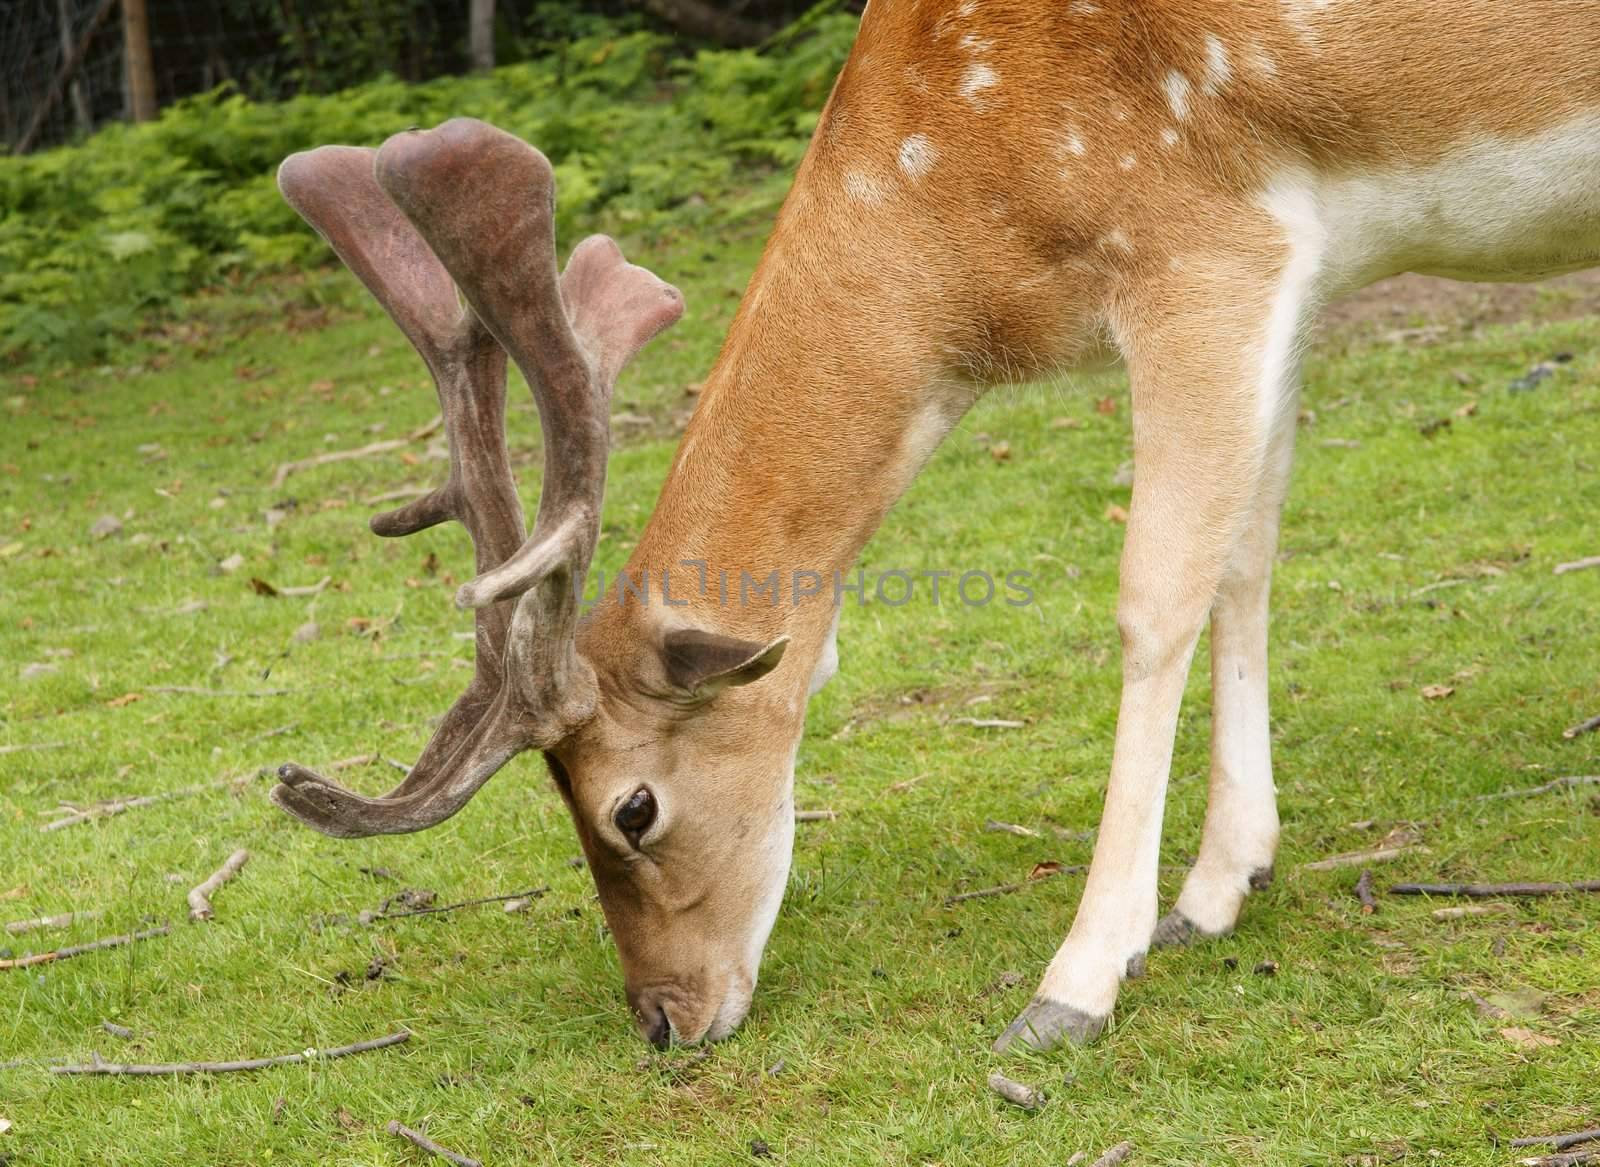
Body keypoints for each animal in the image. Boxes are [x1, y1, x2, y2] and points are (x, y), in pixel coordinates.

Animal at [275, 0, 1600, 1050]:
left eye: (629, 809)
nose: (662, 1019)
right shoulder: (1294, 277)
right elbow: (1248, 556)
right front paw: (1221, 886)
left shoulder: (1202, 249)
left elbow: (1156, 595)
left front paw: (1076, 982)